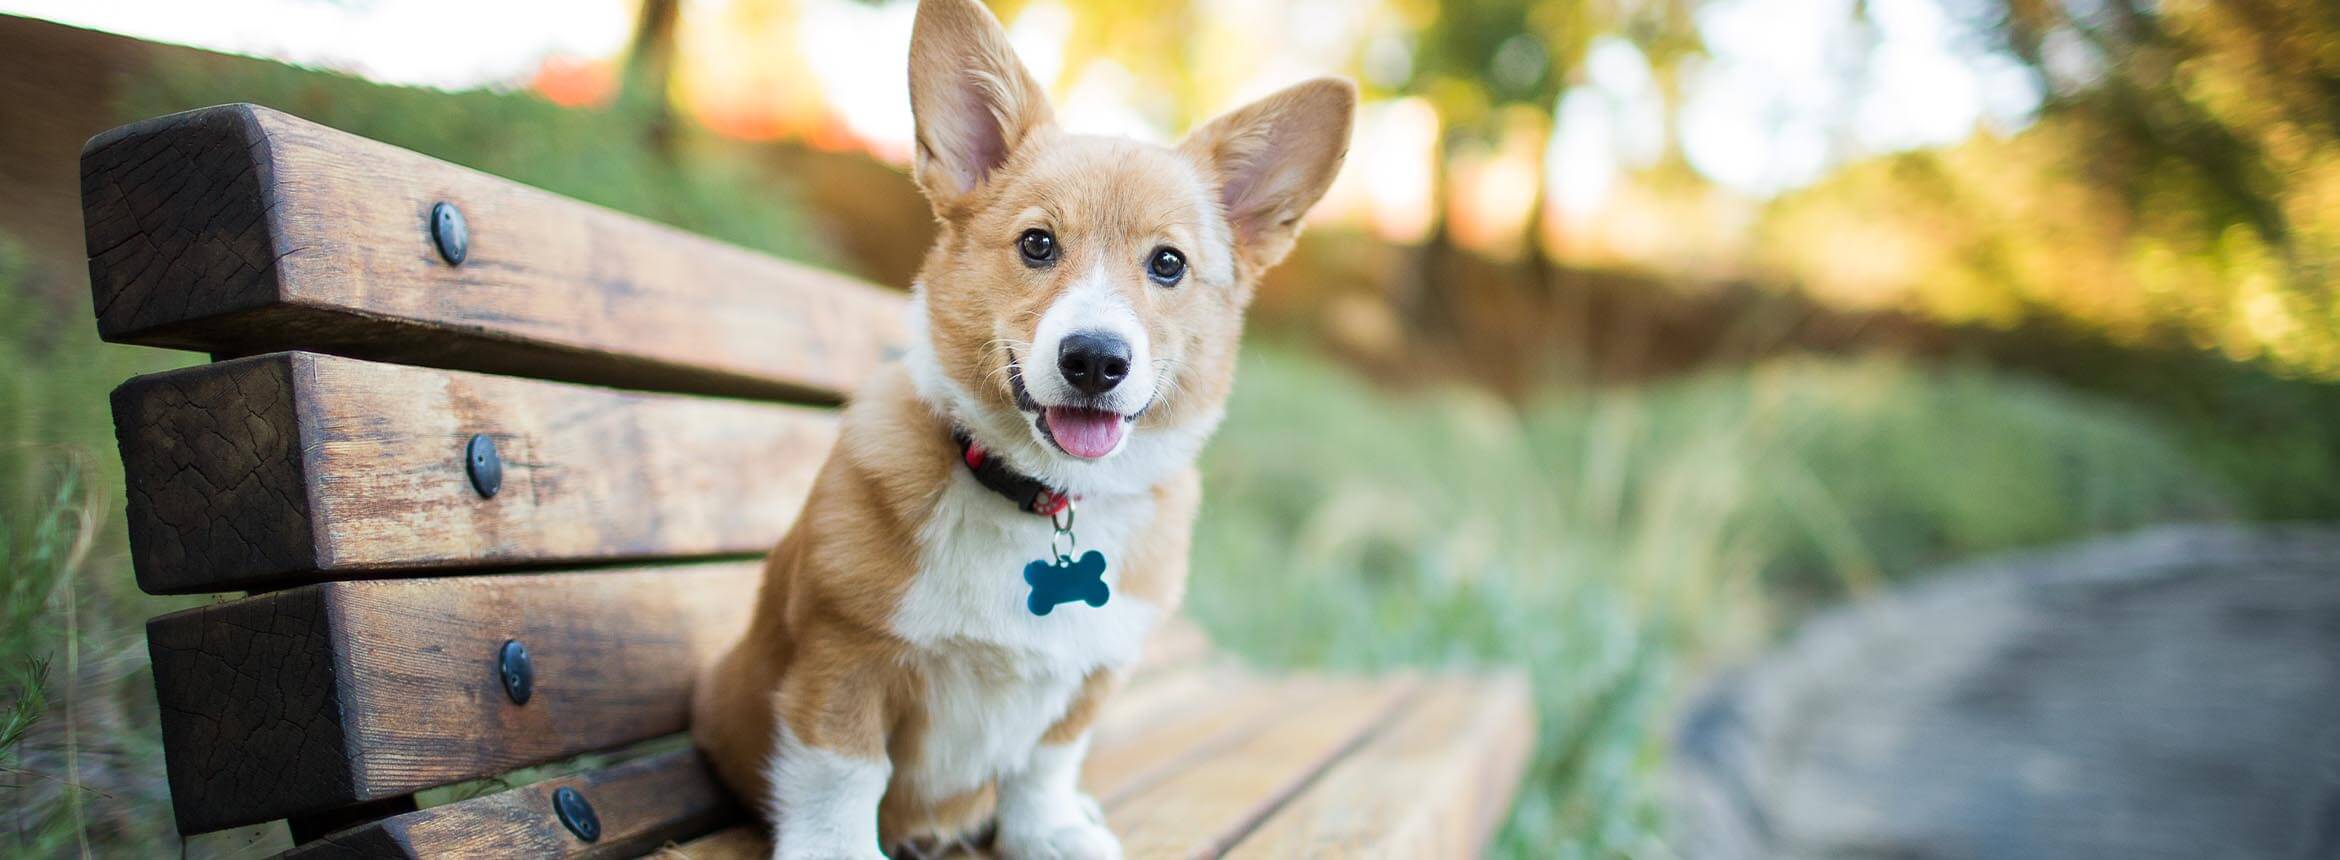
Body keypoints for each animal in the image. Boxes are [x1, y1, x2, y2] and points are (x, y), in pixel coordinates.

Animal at [687, 0, 1357, 855]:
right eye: (1038, 244)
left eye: (1168, 264)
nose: (1095, 360)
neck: (1043, 497)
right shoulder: (844, 657)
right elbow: (844, 778)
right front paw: (838, 847)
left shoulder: (1091, 677)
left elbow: (1044, 767)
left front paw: (1053, 832)